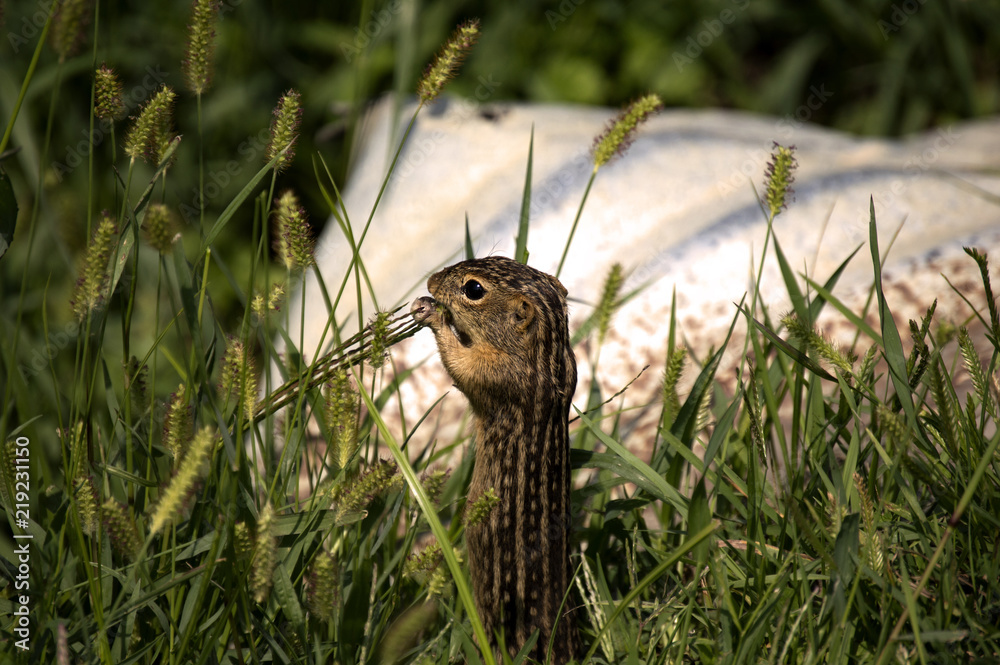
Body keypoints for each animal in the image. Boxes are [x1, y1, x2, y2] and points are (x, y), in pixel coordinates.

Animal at [411, 256, 578, 664]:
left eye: (473, 289)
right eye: (503, 257)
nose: (432, 280)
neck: (547, 352)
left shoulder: (494, 372)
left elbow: (459, 363)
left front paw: (432, 313)